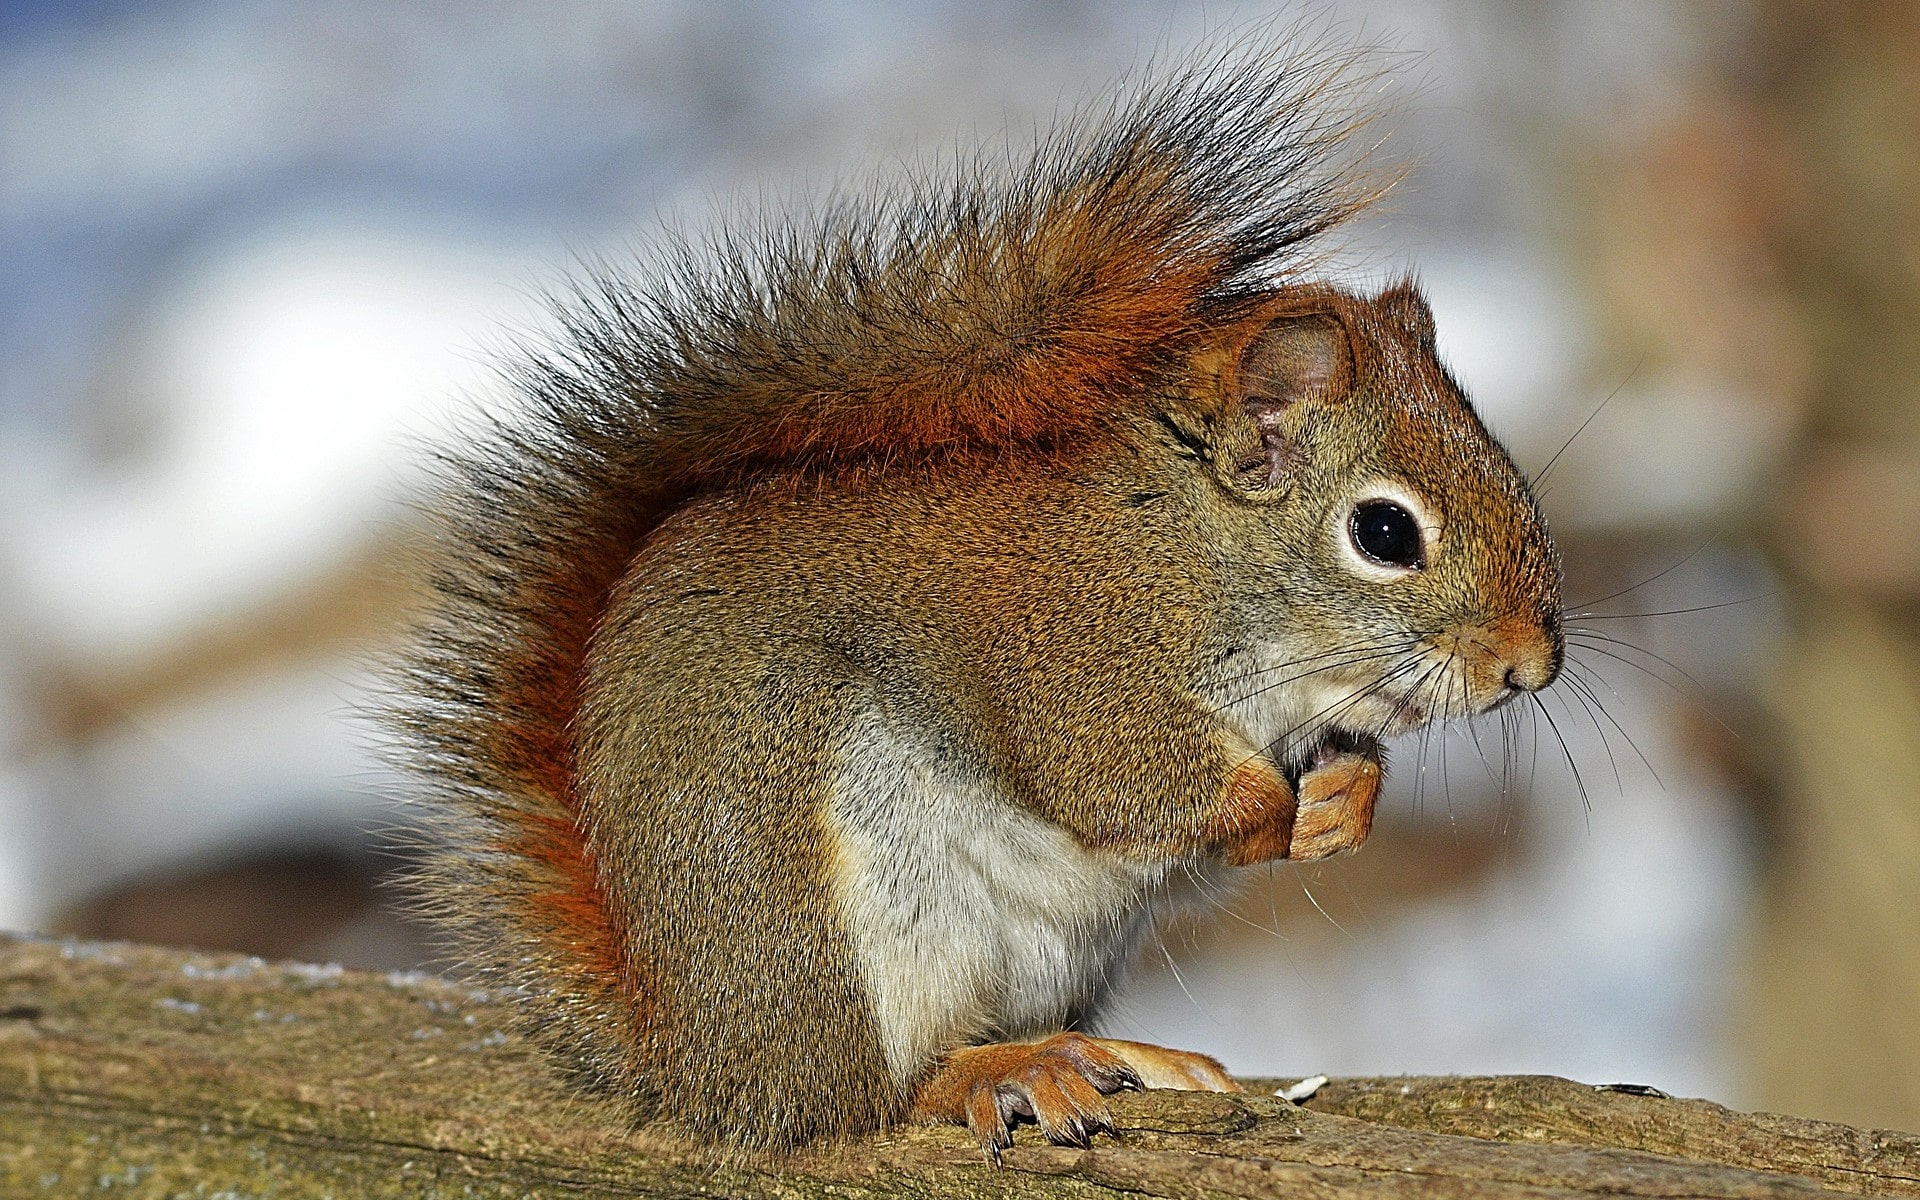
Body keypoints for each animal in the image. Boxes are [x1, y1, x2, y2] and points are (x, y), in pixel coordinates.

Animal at [389, 35, 1559, 1159]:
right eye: (1384, 533)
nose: (1530, 666)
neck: (1192, 547)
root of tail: (698, 1062)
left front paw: (1346, 799)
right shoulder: (1077, 655)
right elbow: (1119, 782)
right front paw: (1274, 806)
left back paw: (1118, 1054)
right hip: (838, 924)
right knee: (877, 1094)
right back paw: (1001, 1073)